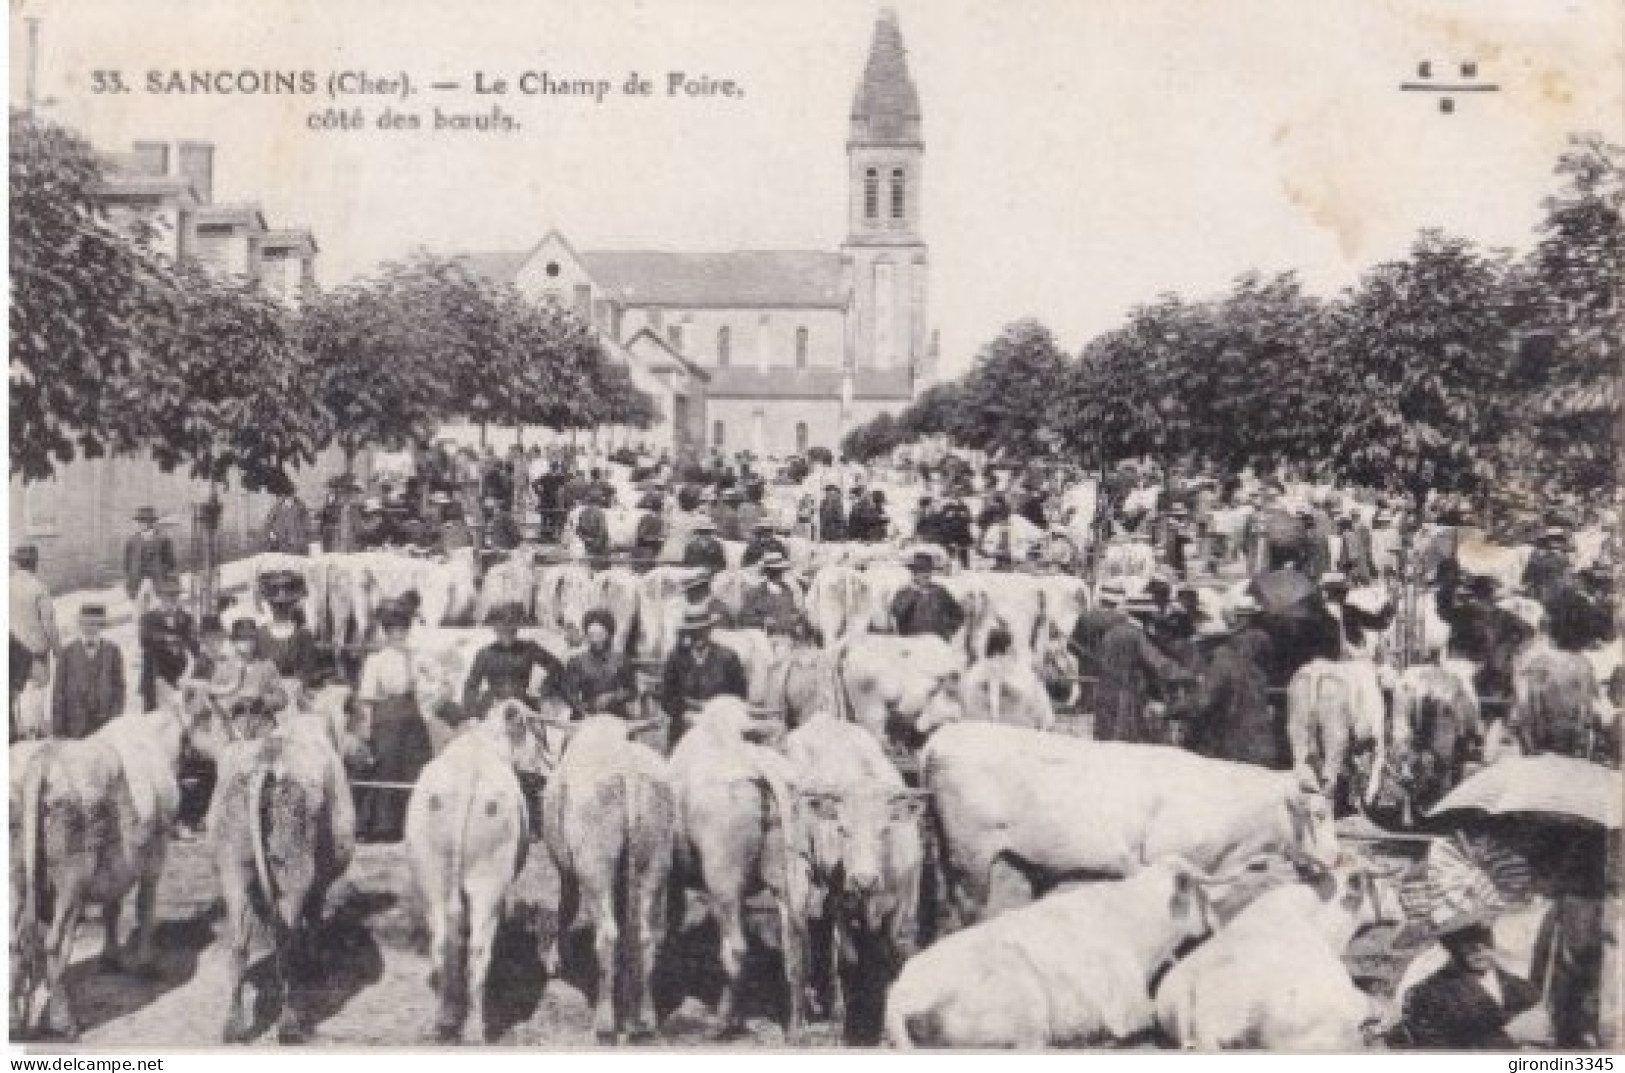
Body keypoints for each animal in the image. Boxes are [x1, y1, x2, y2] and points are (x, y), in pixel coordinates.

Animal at [542, 712, 676, 1040]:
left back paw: (604, 1021)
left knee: (607, 935)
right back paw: (646, 1016)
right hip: (655, 853)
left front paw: (557, 960)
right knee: (645, 935)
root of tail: (629, 775)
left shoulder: (567, 868)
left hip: (595, 859)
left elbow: (566, 907)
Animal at [923, 725, 1339, 923]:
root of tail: (940, 737)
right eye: (1319, 815)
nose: (1337, 858)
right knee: (968, 907)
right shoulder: (1166, 862)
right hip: (971, 855)